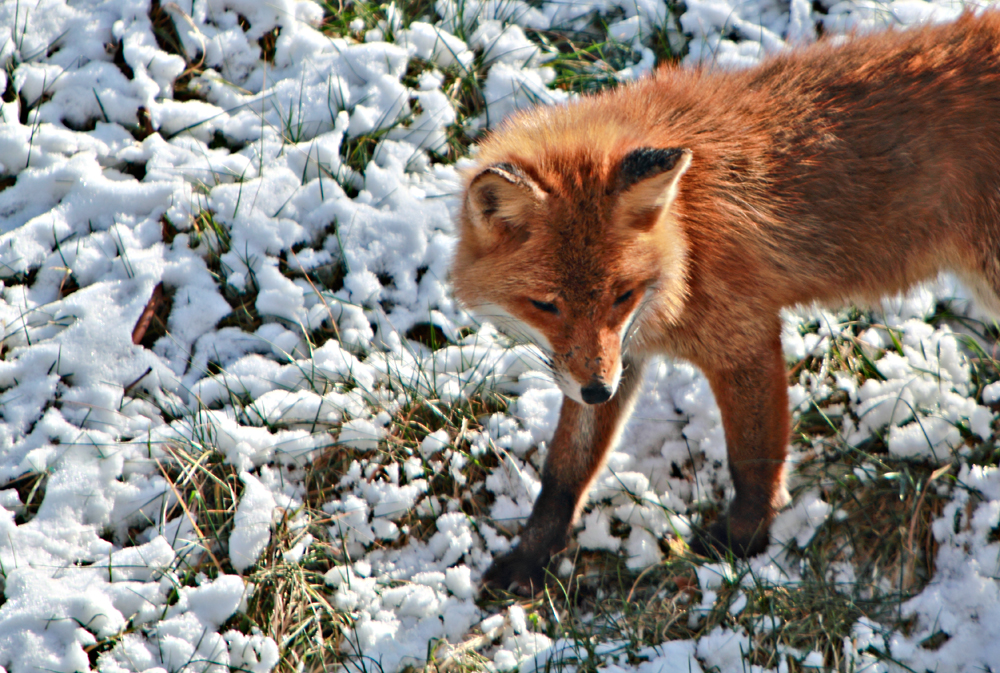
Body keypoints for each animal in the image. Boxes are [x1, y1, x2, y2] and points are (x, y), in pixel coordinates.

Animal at [450, 11, 1000, 592]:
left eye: (622, 294)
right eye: (547, 305)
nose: (598, 390)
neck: (686, 234)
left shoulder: (743, 339)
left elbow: (753, 460)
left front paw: (743, 541)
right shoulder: (621, 355)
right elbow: (564, 471)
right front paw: (531, 556)